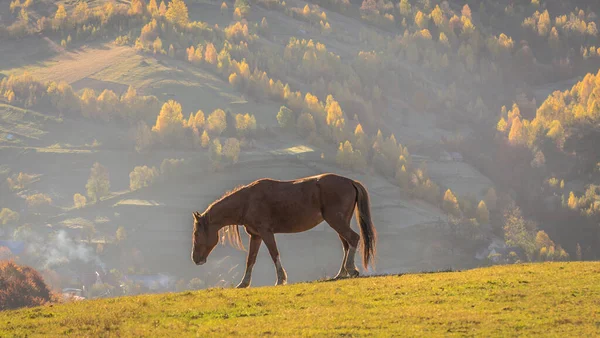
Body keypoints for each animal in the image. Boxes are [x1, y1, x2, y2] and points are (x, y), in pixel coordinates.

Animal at [190, 174, 378, 288]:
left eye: (196, 234)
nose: (195, 259)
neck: (247, 201)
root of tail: (350, 181)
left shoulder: (266, 233)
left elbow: (274, 254)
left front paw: (281, 279)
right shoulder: (256, 236)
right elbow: (251, 259)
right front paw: (243, 283)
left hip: (336, 221)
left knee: (353, 239)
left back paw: (351, 270)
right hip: (339, 222)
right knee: (347, 245)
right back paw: (340, 273)